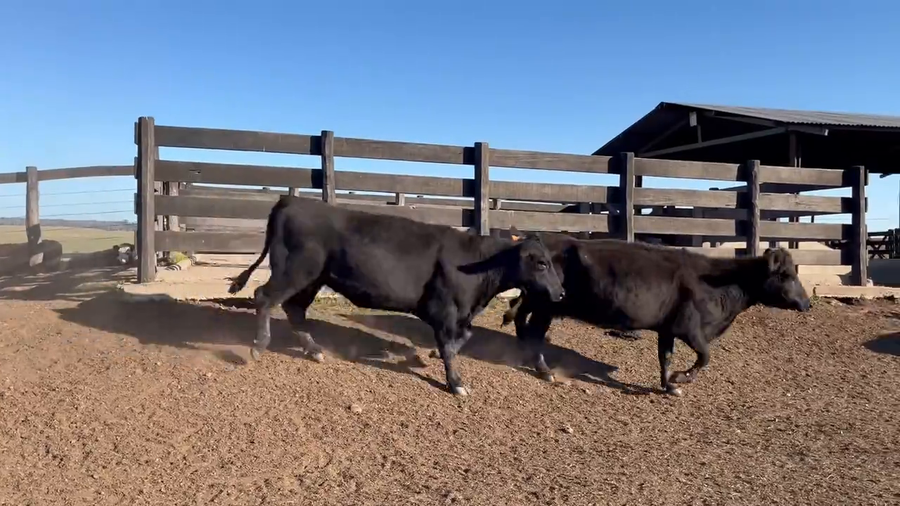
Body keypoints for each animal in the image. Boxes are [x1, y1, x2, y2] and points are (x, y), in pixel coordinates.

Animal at [227, 196, 565, 396]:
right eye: (541, 263)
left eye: (551, 261)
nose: (560, 292)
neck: (476, 264)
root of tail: (293, 200)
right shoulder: (445, 311)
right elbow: (450, 347)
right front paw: (456, 382)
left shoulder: (460, 315)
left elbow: (461, 339)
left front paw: (432, 357)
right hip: (295, 270)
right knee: (264, 297)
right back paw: (258, 346)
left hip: (312, 278)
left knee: (293, 309)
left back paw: (314, 350)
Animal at [500, 233, 810, 396]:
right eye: (785, 275)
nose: (807, 303)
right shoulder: (690, 329)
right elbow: (705, 357)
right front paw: (680, 379)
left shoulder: (667, 329)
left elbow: (666, 357)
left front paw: (668, 384)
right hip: (545, 308)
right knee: (533, 332)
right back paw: (544, 370)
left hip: (537, 303)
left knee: (519, 316)